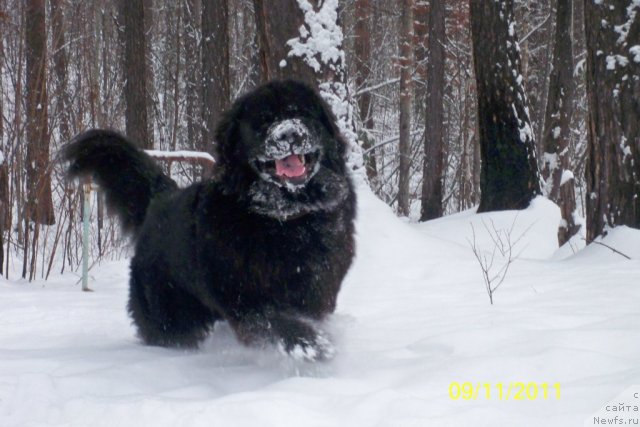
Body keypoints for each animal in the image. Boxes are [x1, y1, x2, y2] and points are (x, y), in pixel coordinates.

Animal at [64, 79, 358, 362]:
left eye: (302, 113)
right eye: (263, 121)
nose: (290, 134)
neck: (286, 219)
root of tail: (161, 197)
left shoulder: (319, 288)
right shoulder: (242, 295)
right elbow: (271, 319)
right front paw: (310, 344)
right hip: (170, 311)